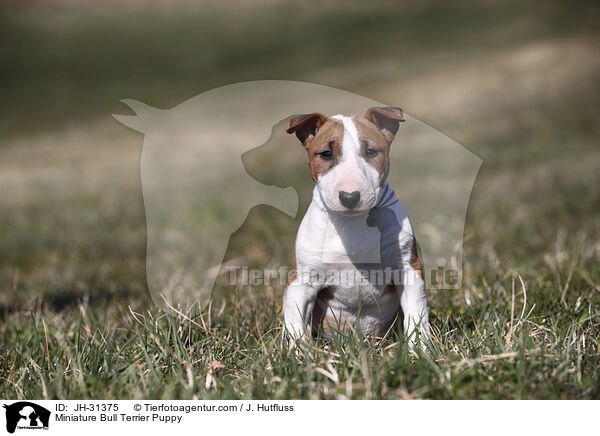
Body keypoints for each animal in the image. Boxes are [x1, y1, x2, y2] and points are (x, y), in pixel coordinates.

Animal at [282, 106, 428, 348]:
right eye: (326, 153)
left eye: (371, 151)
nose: (349, 197)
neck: (352, 222)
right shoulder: (301, 282)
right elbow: (295, 324)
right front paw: (299, 355)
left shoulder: (408, 271)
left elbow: (417, 316)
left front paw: (421, 351)